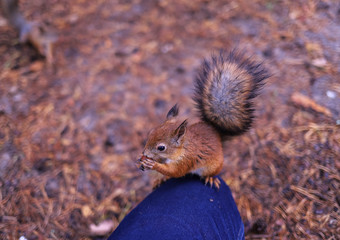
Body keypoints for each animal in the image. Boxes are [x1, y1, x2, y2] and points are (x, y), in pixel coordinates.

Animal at [139, 50, 270, 189]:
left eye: (161, 148)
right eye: (151, 133)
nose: (145, 153)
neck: (182, 149)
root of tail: (216, 132)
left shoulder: (186, 160)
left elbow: (175, 172)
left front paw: (153, 164)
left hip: (213, 166)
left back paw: (210, 178)